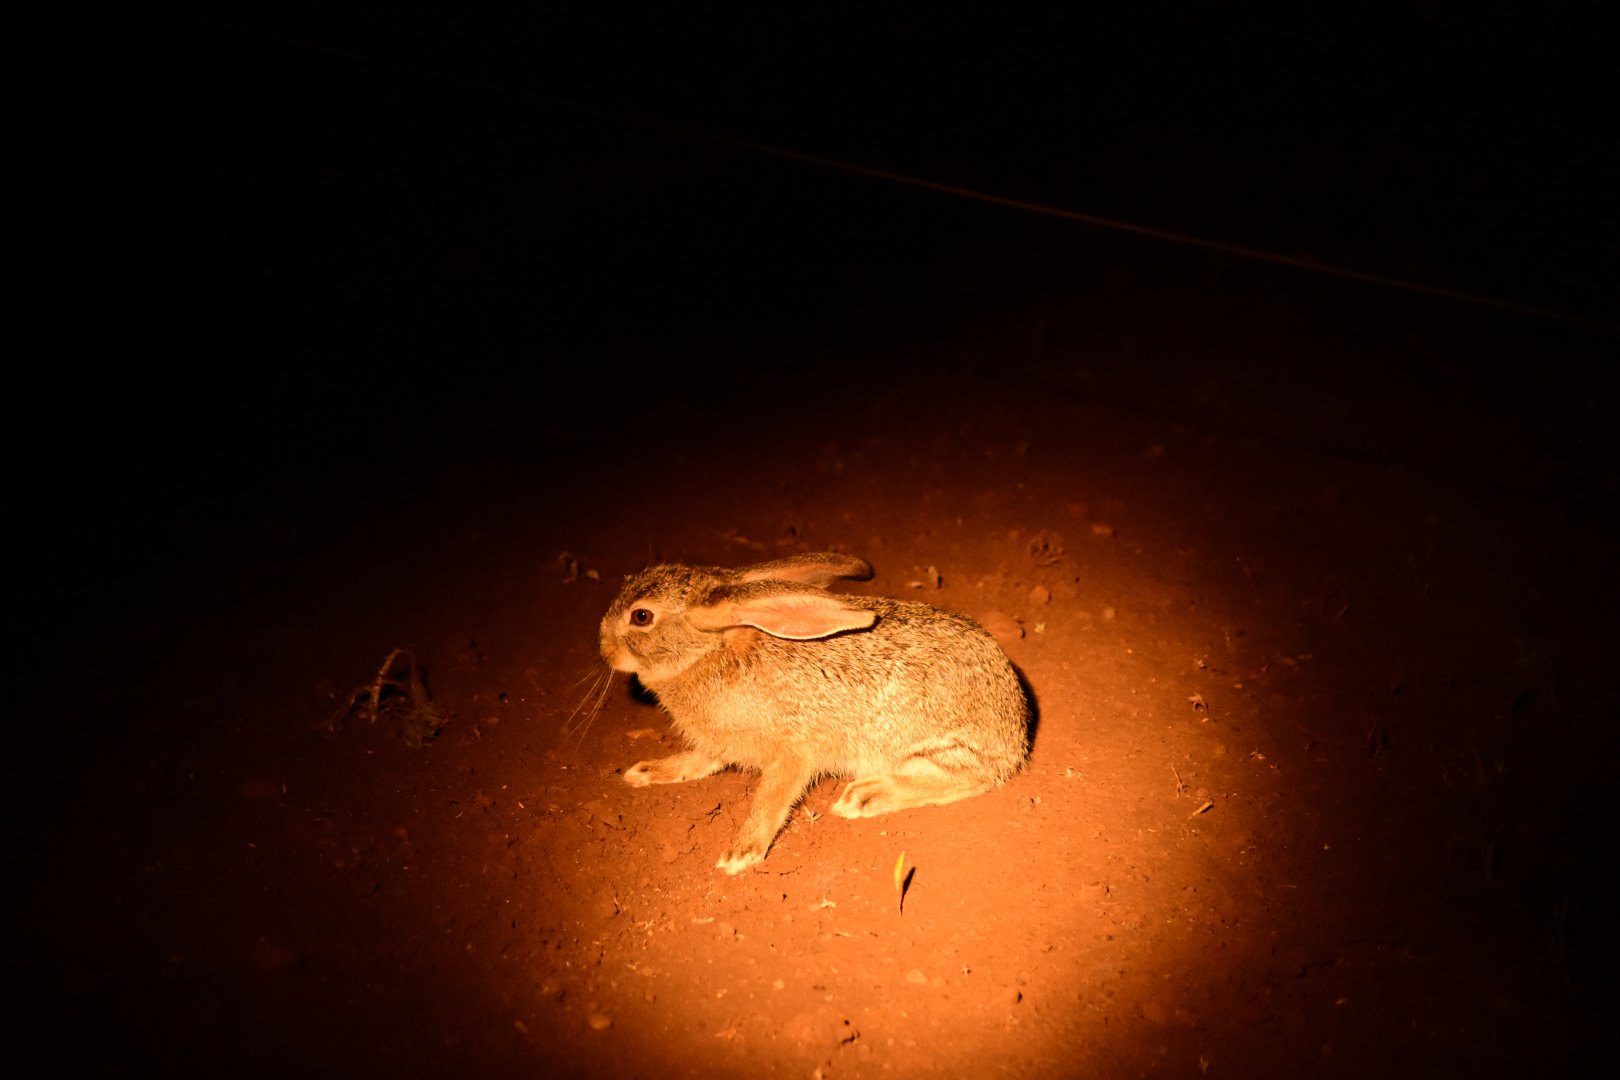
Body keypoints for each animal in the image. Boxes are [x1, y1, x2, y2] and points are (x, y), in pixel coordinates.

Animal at [599, 552, 1031, 873]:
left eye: (641, 616)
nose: (604, 648)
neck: (708, 652)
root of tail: (1017, 728)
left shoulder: (792, 752)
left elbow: (770, 799)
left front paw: (741, 852)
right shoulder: (717, 744)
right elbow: (699, 761)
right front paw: (649, 771)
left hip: (923, 743)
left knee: (971, 779)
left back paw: (865, 795)